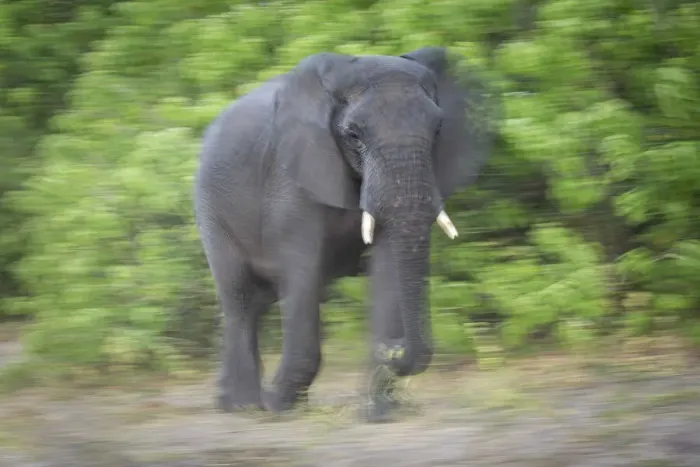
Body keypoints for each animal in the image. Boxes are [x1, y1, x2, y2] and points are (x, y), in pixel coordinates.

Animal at [193, 46, 497, 422]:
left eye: (438, 128)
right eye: (353, 135)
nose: (392, 349)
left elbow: (387, 267)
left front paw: (380, 413)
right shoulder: (291, 176)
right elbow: (301, 270)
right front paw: (278, 406)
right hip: (210, 206)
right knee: (239, 297)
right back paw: (243, 406)